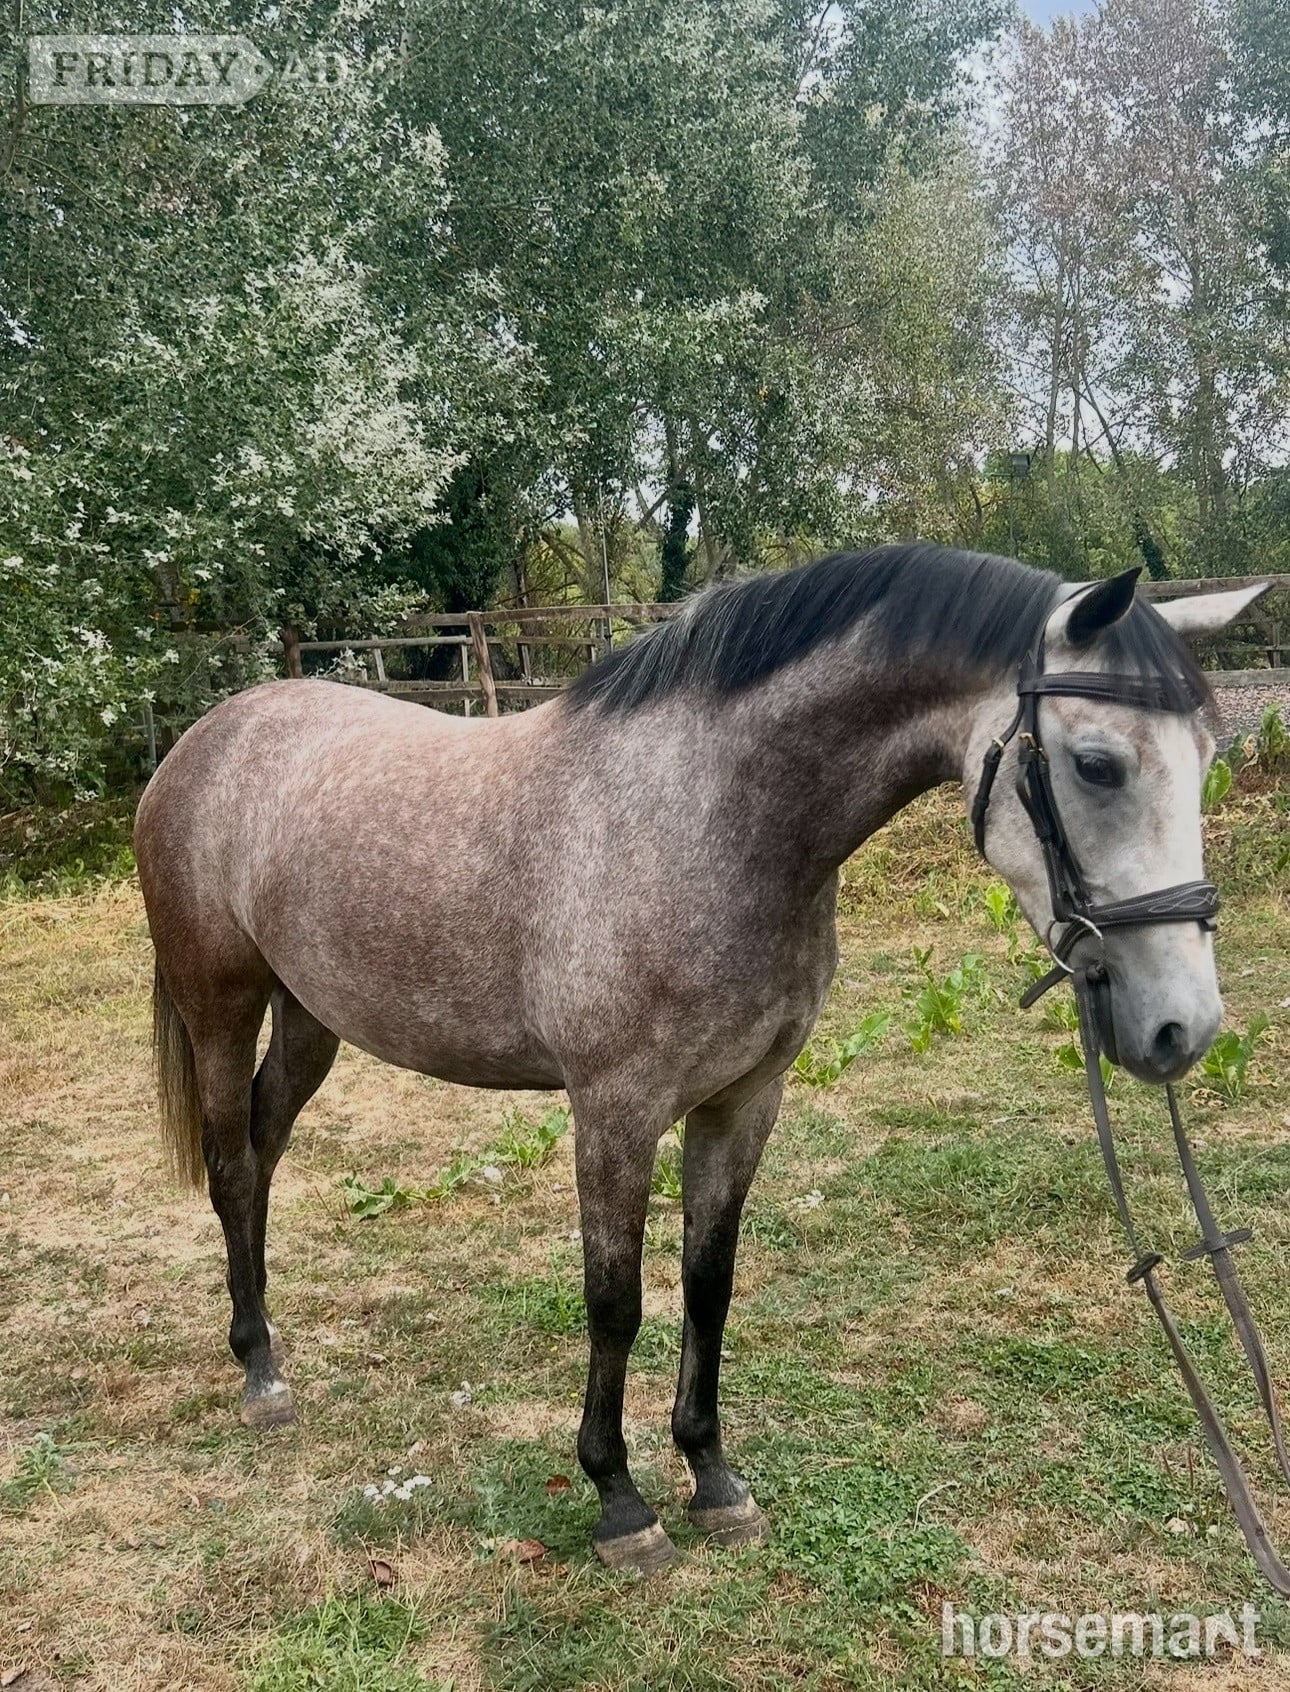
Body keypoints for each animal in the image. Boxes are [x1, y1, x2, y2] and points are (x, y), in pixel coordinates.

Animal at [133, 543, 1262, 1575]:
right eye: (1098, 764)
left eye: (1209, 757)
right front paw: (620, 1502)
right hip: (221, 1005)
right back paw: (261, 1373)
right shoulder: (615, 1110)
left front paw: (713, 1479)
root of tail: (206, 738)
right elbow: (616, 1301)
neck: (711, 817)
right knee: (232, 1166)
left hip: (310, 1019)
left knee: (262, 1158)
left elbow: (707, 1283)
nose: (1182, 1029)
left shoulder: (744, 1100)